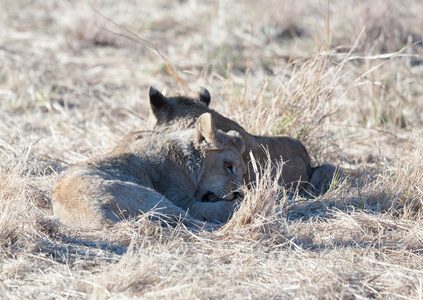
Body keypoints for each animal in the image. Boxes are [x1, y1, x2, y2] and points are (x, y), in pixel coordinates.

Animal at [53, 113, 247, 230]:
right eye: (227, 165)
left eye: (243, 172)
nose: (239, 192)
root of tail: (95, 213)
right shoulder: (185, 201)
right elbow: (218, 209)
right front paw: (242, 202)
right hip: (154, 198)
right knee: (193, 223)